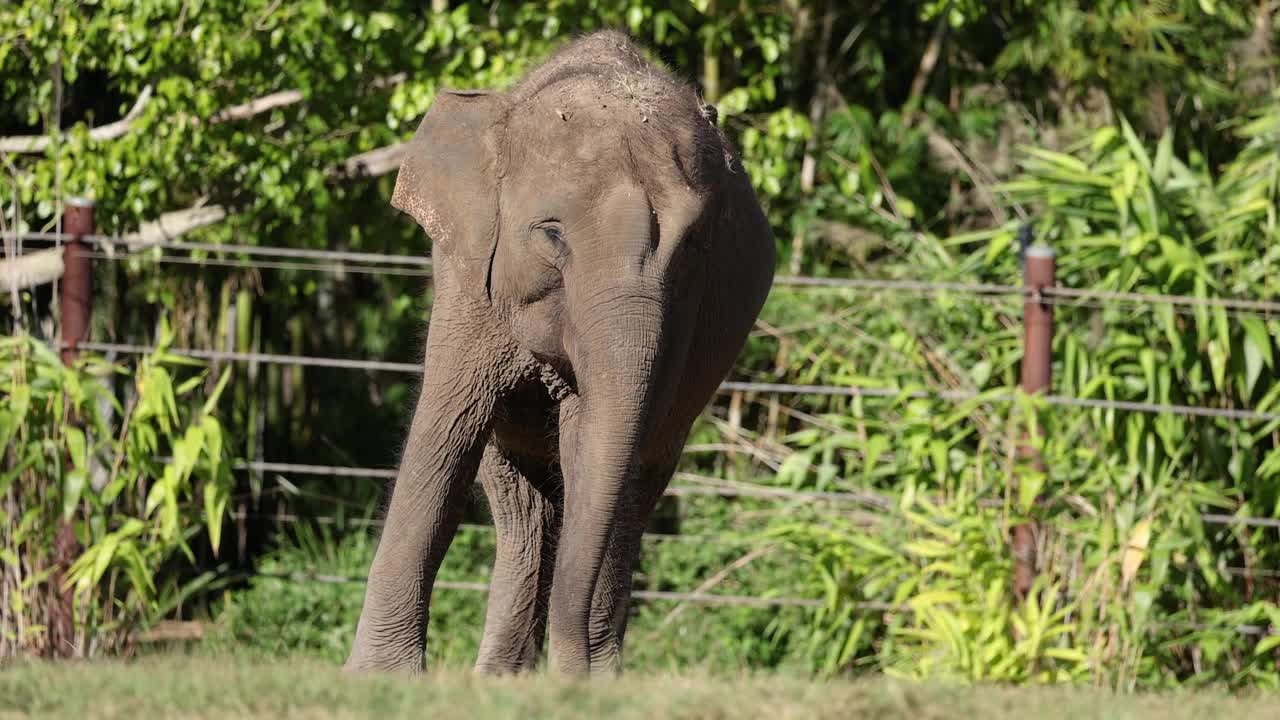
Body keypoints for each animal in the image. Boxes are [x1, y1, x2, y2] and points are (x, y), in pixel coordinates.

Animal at [345, 30, 773, 671]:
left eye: (695, 244)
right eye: (550, 233)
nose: (575, 668)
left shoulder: (684, 317)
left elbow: (589, 442)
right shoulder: (471, 278)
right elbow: (448, 433)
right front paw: (379, 678)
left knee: (630, 484)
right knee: (519, 500)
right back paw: (504, 676)